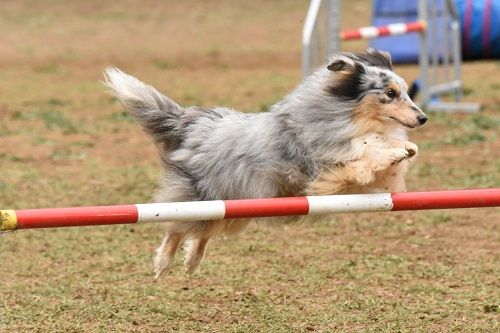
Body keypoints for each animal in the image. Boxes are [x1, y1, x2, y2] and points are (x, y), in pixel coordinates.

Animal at [104, 48, 426, 276]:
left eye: (406, 92)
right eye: (390, 93)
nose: (423, 118)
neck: (348, 117)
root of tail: (194, 122)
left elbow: (384, 157)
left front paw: (405, 148)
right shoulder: (327, 165)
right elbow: (366, 153)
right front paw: (395, 149)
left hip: (233, 206)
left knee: (202, 233)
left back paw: (192, 262)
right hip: (201, 198)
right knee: (177, 228)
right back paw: (163, 263)